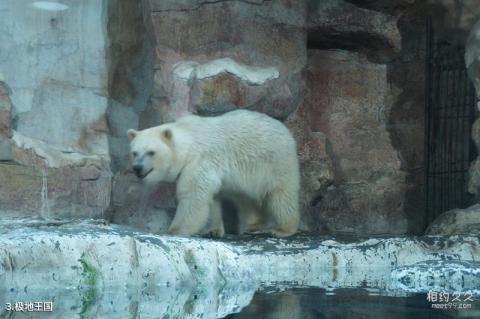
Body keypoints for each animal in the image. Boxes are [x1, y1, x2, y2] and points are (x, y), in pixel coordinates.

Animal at [127, 110, 300, 238]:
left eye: (151, 152)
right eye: (134, 152)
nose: (137, 168)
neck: (189, 141)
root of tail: (284, 129)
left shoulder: (200, 162)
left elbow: (193, 197)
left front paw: (174, 230)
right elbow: (211, 199)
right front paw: (212, 230)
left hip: (275, 162)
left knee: (281, 194)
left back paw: (282, 229)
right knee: (245, 198)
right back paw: (251, 225)